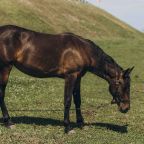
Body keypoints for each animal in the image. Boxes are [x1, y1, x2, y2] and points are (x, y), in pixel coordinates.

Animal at [0, 25, 134, 133]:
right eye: (122, 85)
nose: (126, 108)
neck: (81, 50)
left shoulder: (78, 78)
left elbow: (78, 100)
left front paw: (81, 123)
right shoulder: (70, 76)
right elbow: (68, 100)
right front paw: (68, 127)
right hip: (5, 68)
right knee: (1, 94)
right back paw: (8, 122)